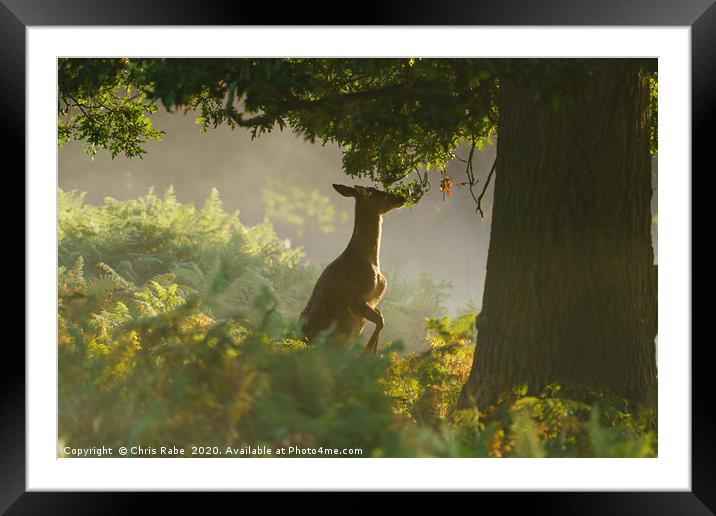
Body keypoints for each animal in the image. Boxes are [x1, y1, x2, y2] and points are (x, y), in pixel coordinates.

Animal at [300, 185, 406, 354]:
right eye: (382, 194)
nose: (402, 197)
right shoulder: (355, 300)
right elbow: (380, 320)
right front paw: (368, 353)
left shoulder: (371, 302)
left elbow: (380, 316)